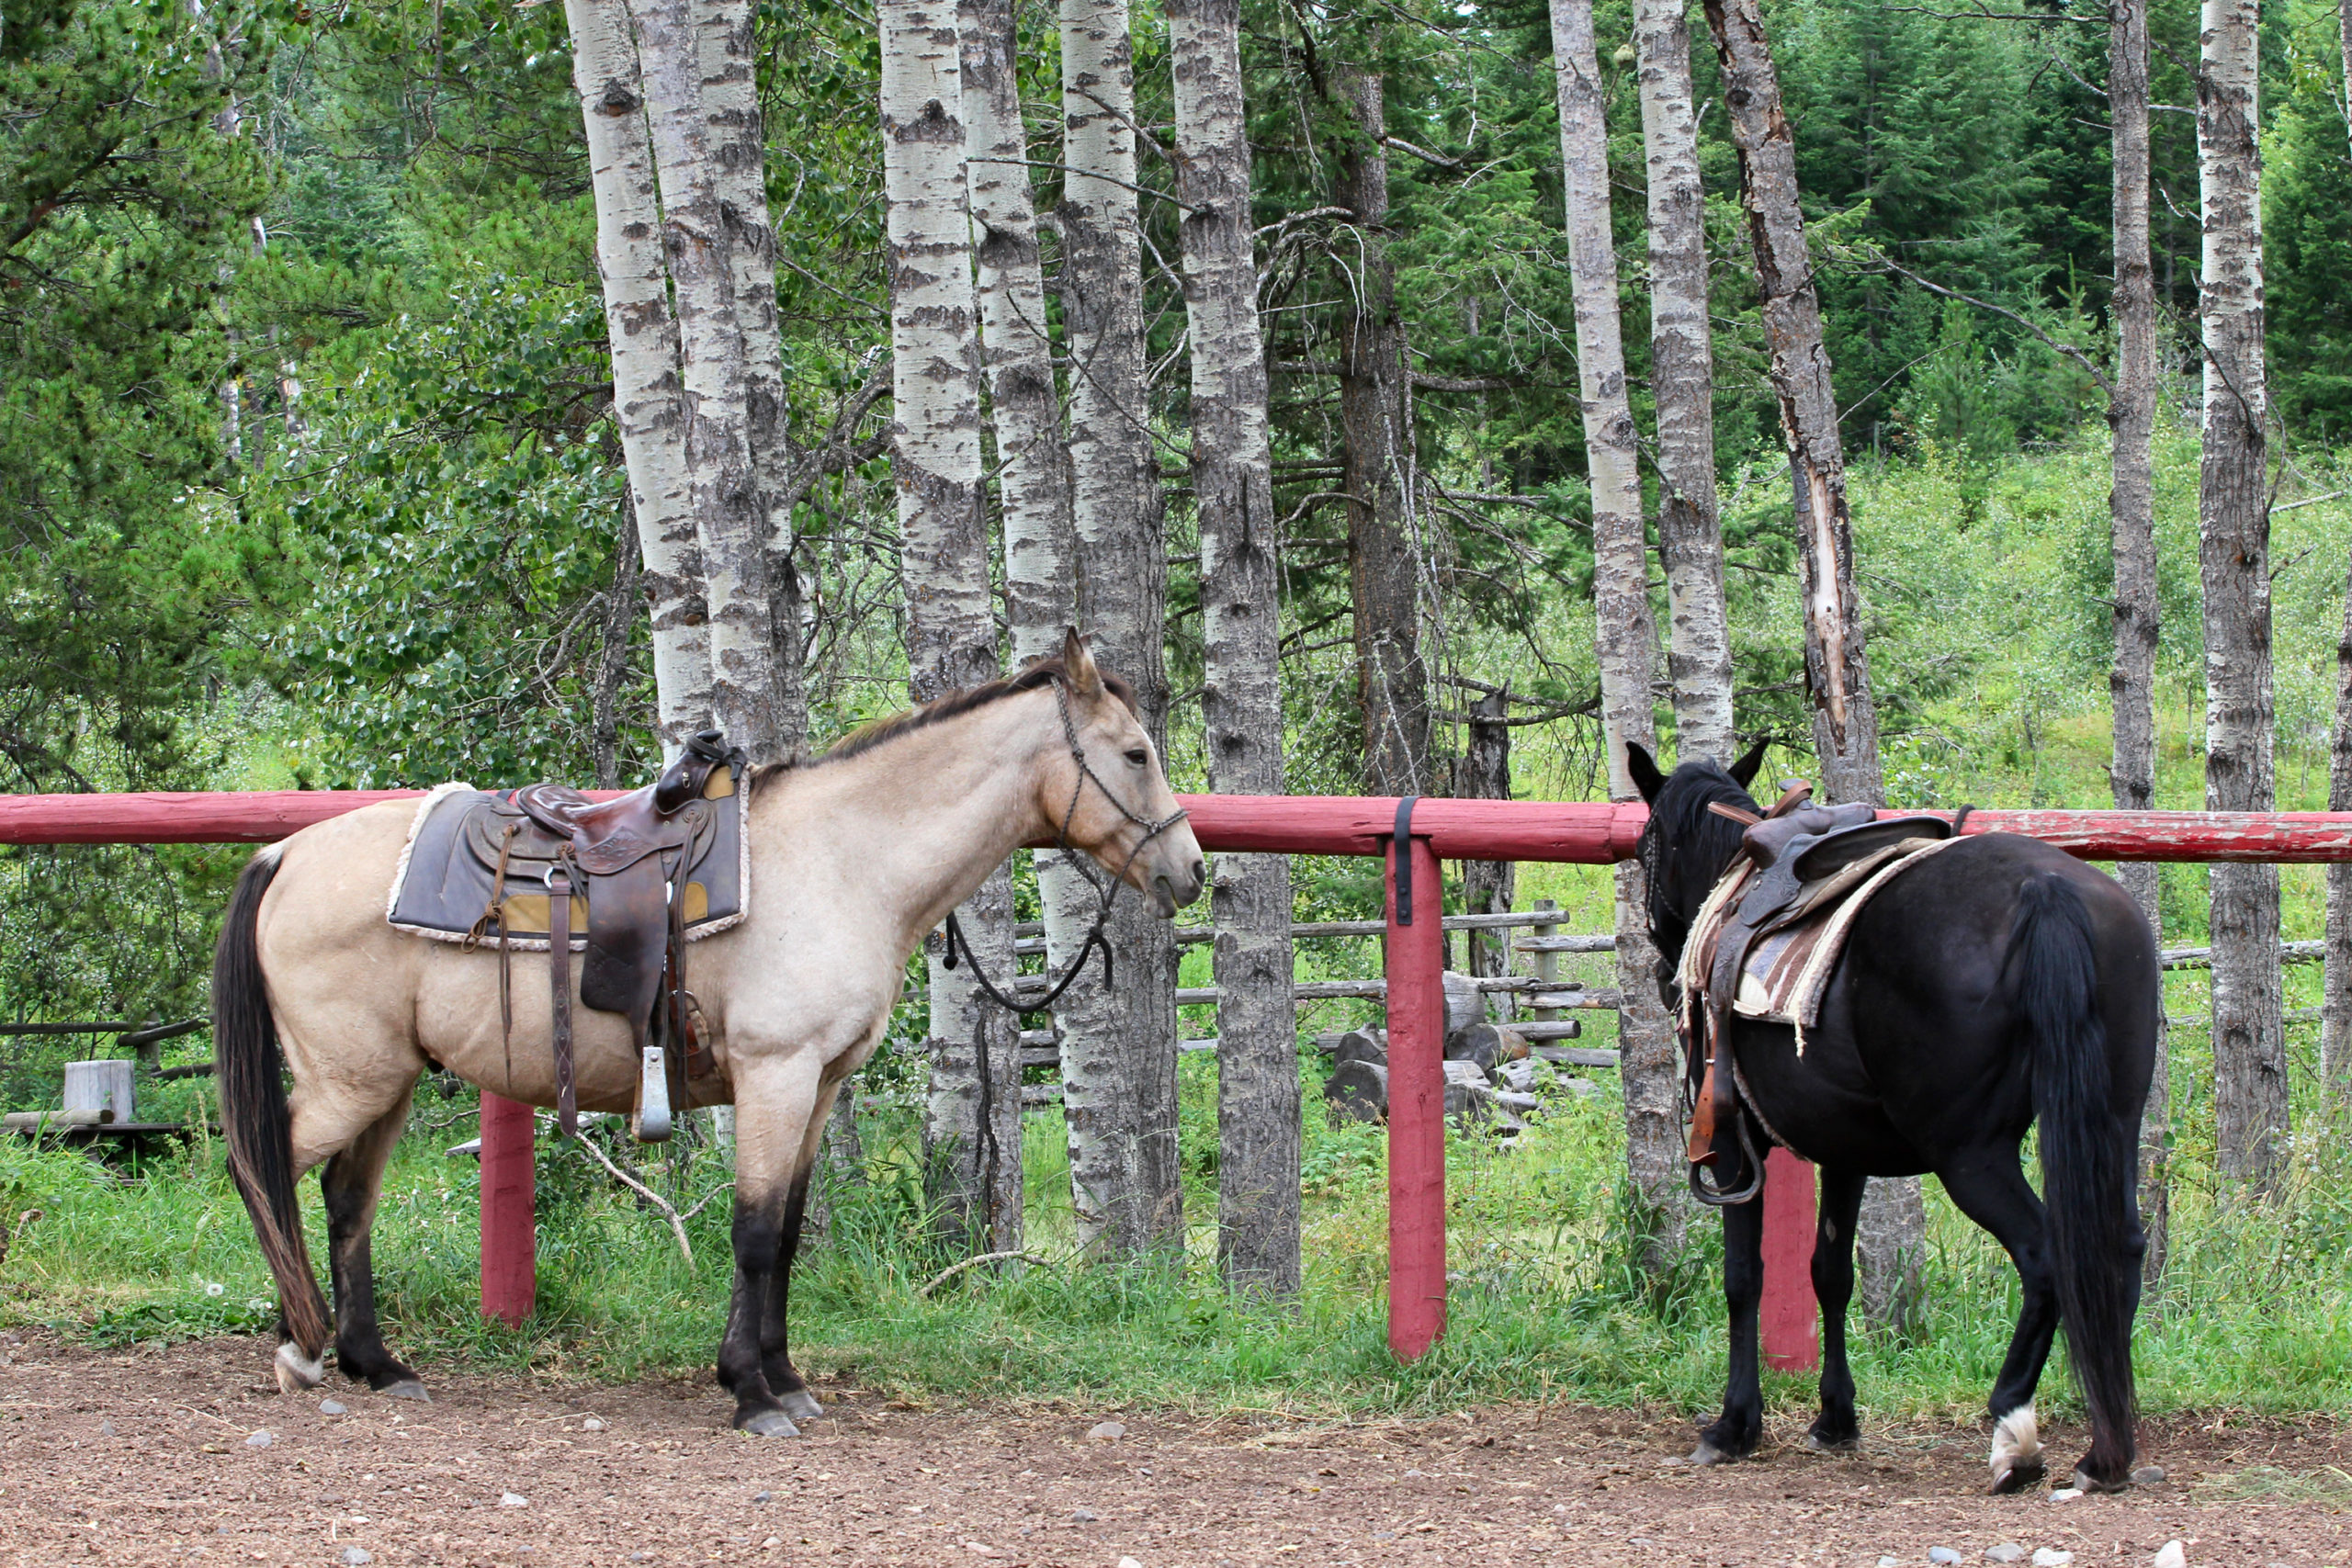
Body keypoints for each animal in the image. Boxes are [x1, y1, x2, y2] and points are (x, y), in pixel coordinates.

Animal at [209, 634, 1204, 1438]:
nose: (1189, 870)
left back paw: (373, 1363)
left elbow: (790, 1232)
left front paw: (785, 1377)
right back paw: (299, 1346)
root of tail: (287, 853)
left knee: (345, 1198)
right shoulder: (775, 1075)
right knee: (262, 1163)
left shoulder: (819, 1084)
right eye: (1134, 752)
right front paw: (751, 1393)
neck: (844, 859)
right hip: (351, 1081)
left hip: (388, 1081)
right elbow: (755, 1232)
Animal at [1627, 747, 2154, 1495]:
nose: (1663, 964)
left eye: (1646, 846)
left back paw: (2014, 1429)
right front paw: (1834, 1417)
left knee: (2044, 1251)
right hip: (2113, 1118)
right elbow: (1829, 1271)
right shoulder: (1843, 1148)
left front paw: (1734, 1424)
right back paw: (2104, 1445)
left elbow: (1743, 1276)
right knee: (2120, 1248)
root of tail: (2046, 889)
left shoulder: (1734, 1147)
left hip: (1971, 1153)